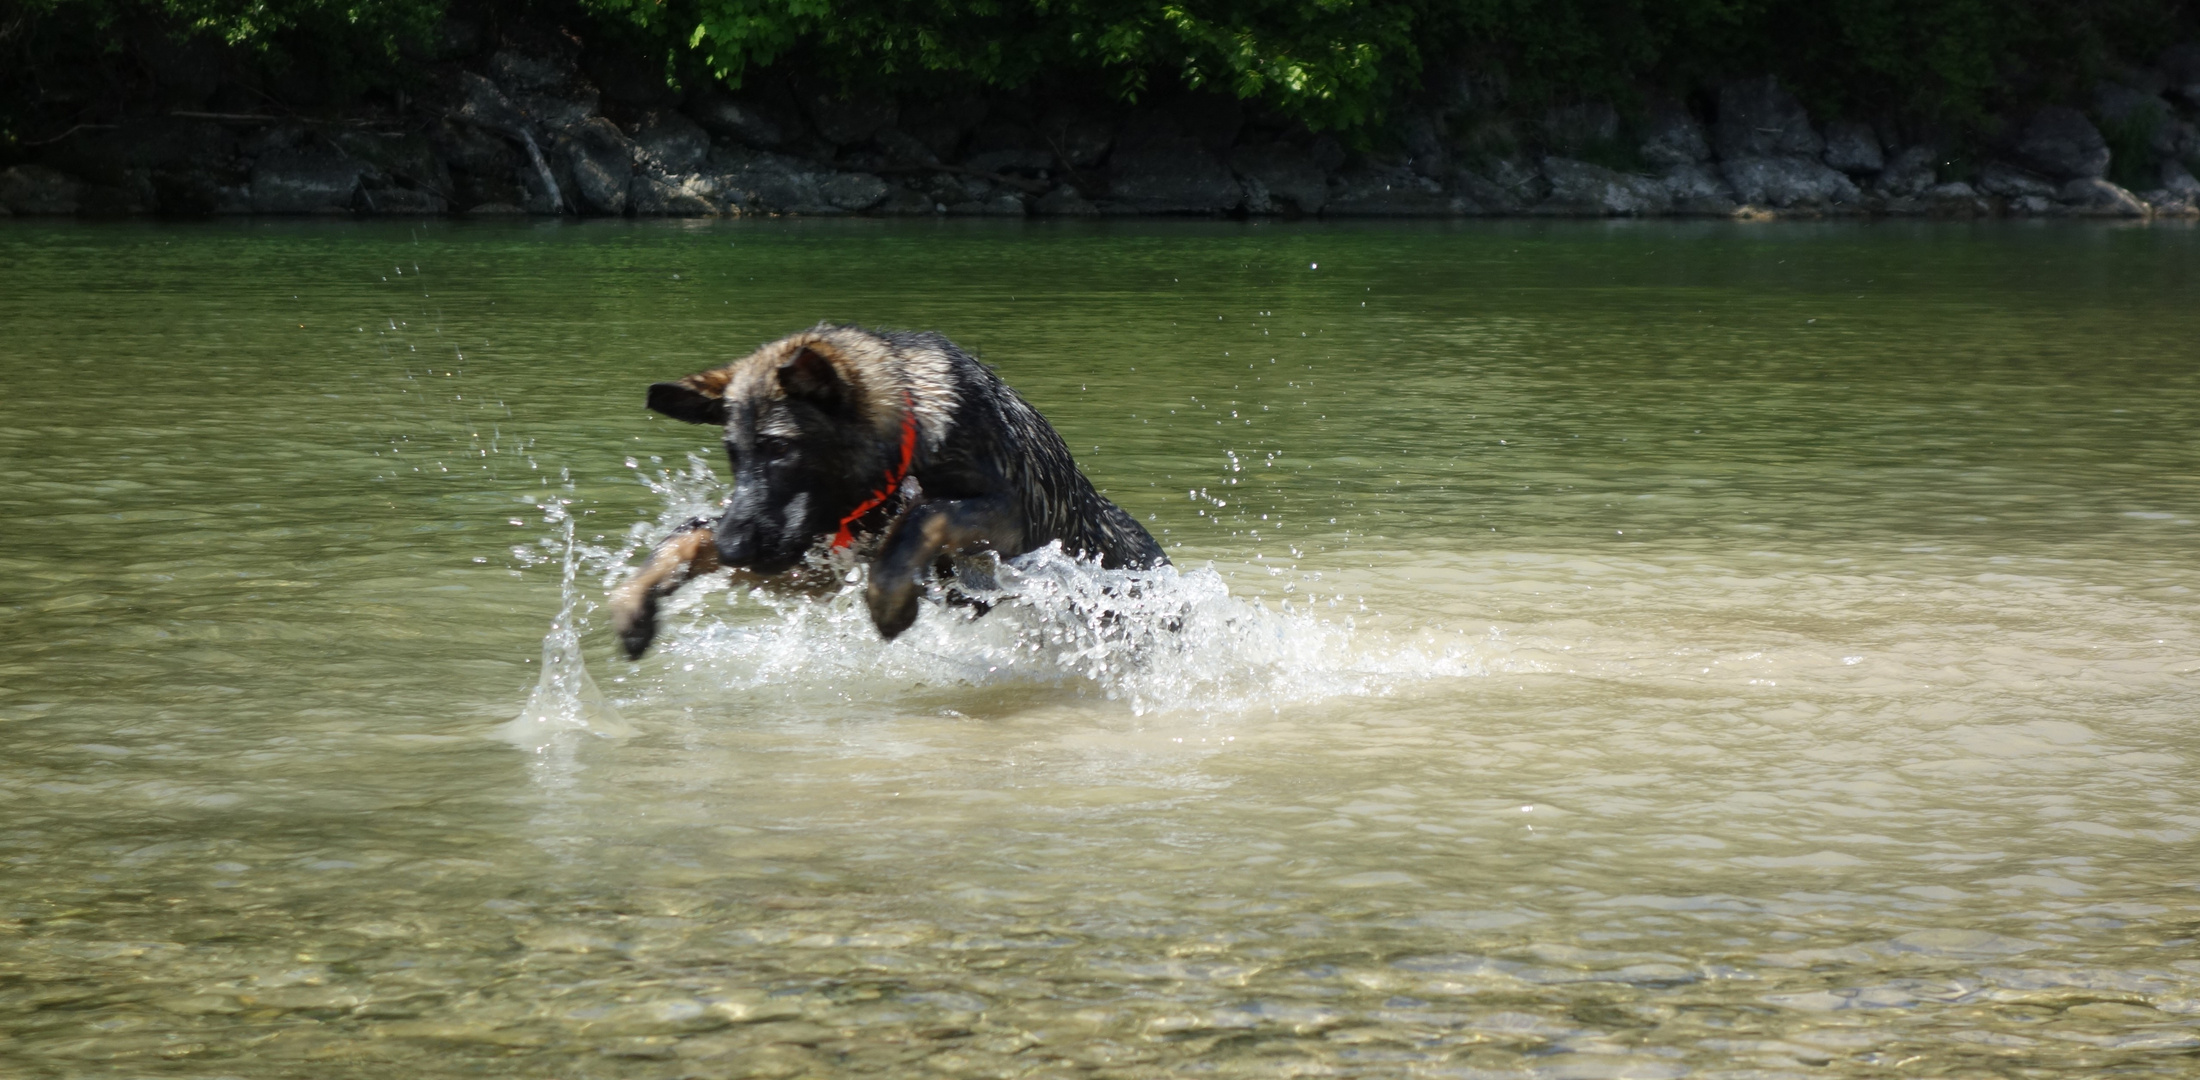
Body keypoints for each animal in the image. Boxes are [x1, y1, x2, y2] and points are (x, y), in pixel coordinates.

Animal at [607, 323, 1170, 659]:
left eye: (781, 448)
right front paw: (635, 601)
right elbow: (688, 533)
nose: (734, 548)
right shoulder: (814, 567)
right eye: (733, 452)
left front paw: (890, 600)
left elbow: (922, 518)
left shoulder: (1007, 517)